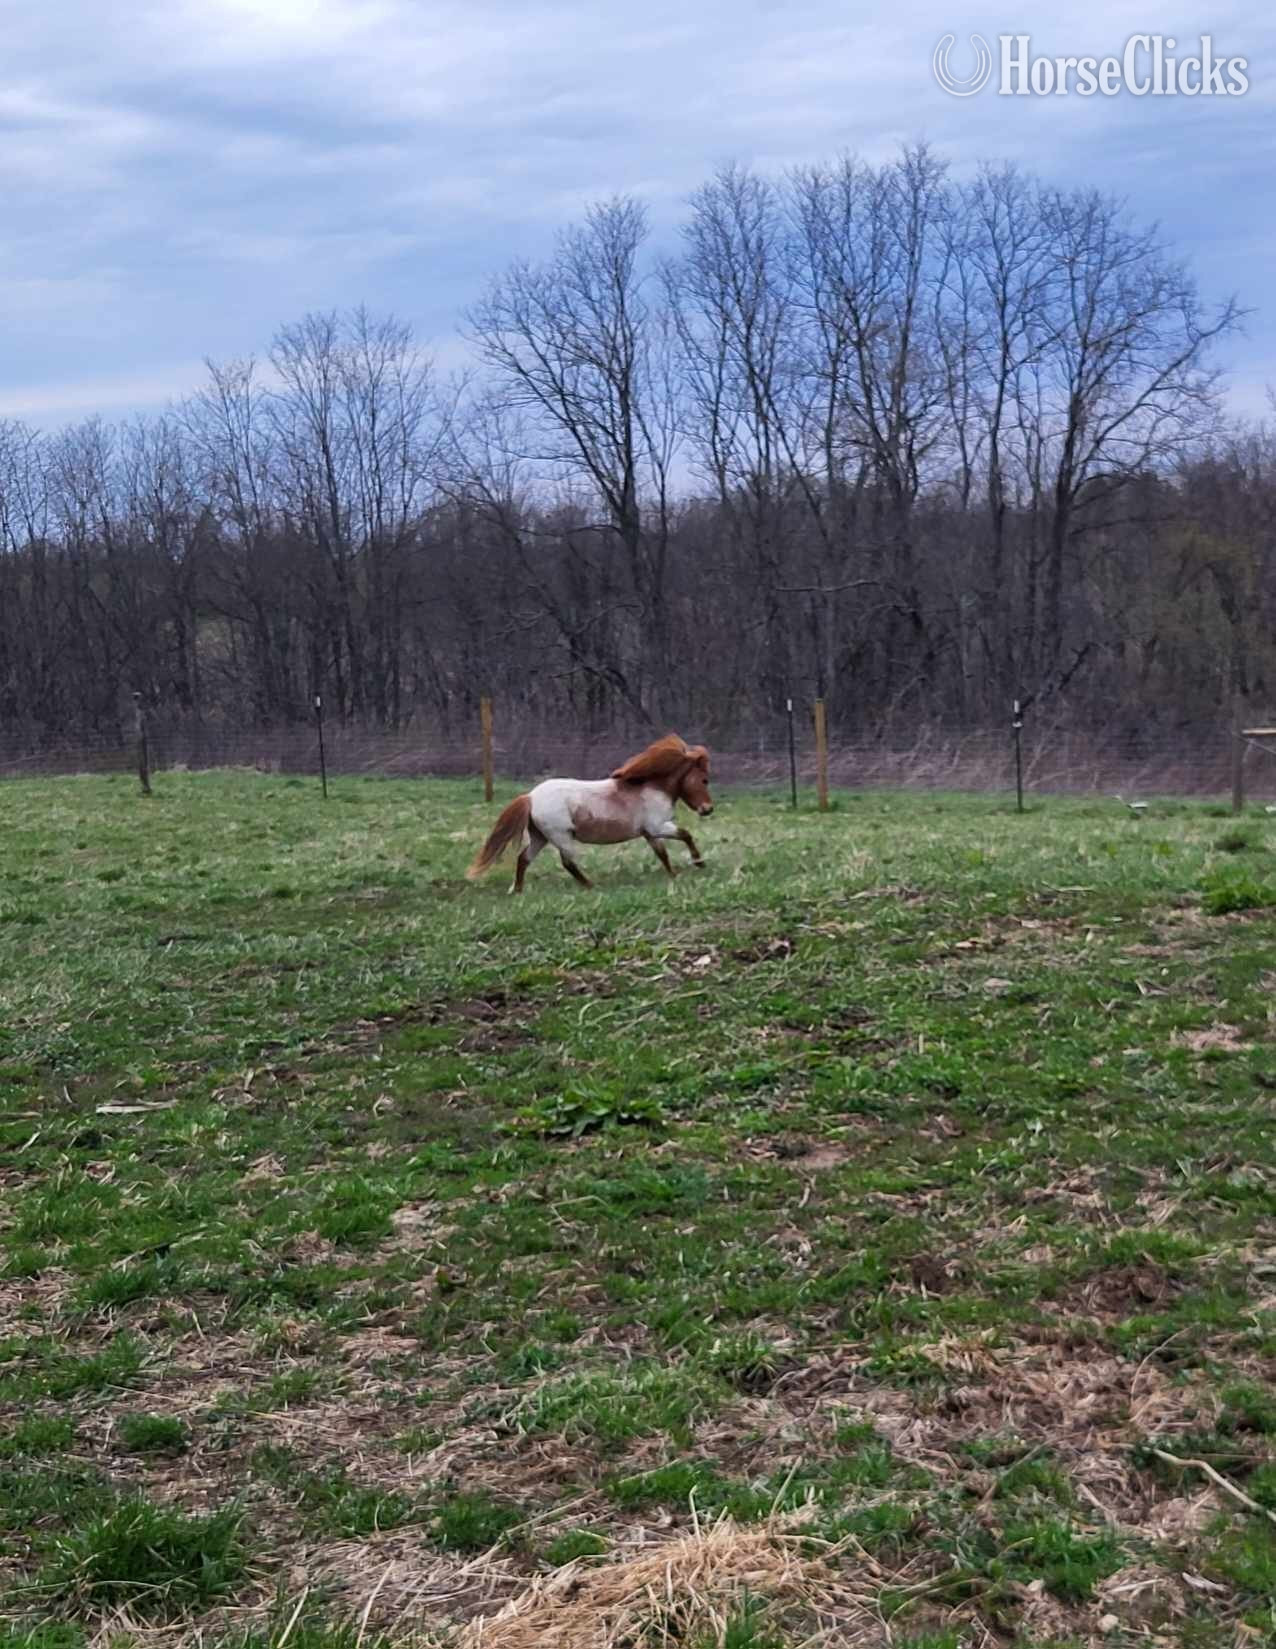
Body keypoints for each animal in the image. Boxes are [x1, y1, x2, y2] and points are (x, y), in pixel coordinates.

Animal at [466, 734, 715, 893]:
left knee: (524, 858)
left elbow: (662, 854)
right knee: (567, 862)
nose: (708, 809)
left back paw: (518, 890)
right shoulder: (658, 827)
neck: (651, 787)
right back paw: (590, 886)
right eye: (704, 779)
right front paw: (699, 862)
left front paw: (674, 875)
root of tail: (531, 796)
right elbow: (685, 834)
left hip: (541, 837)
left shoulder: (650, 833)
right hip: (561, 836)